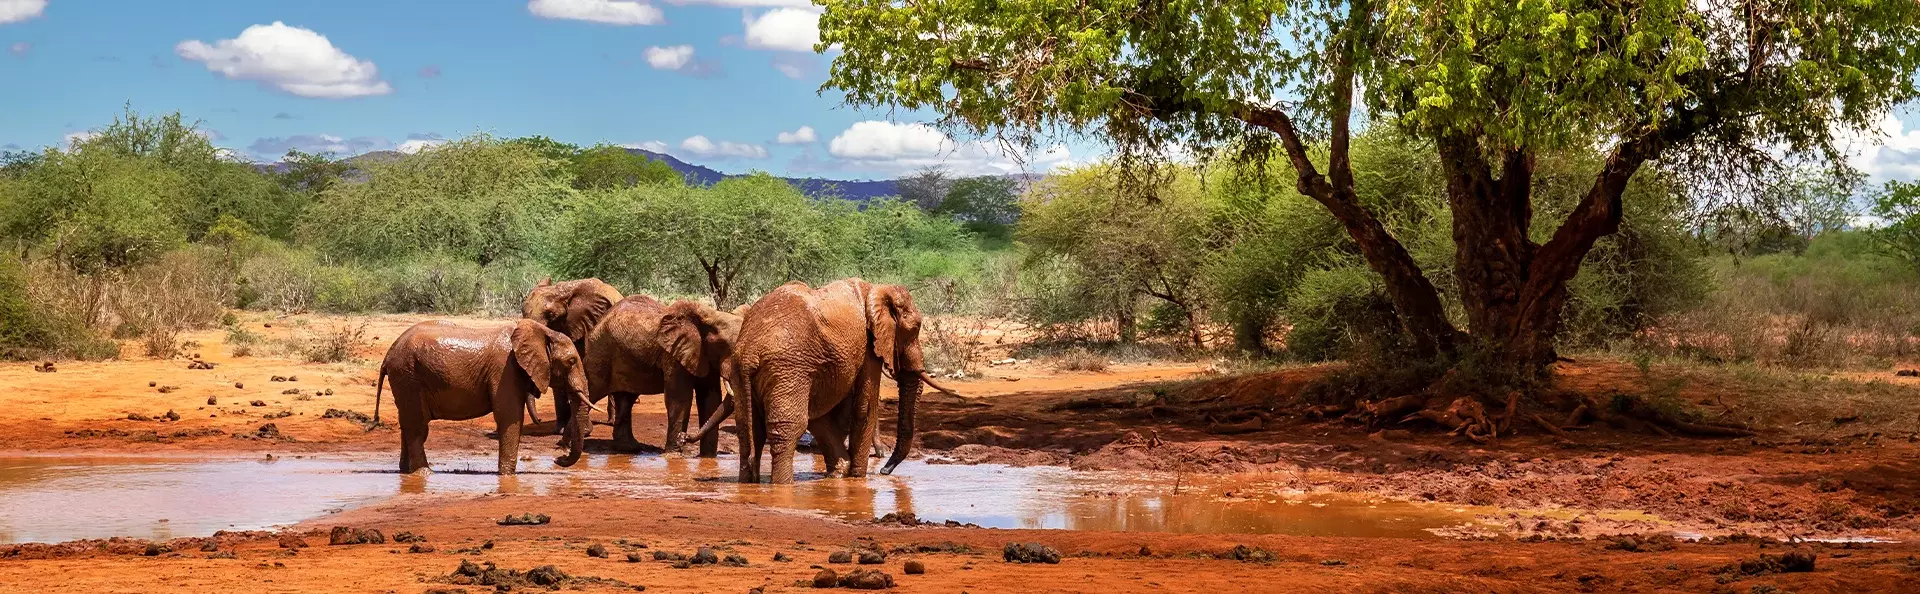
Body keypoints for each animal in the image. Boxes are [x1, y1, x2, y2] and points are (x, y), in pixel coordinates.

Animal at [373, 319, 593, 474]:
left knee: (408, 422)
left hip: (405, 378)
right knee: (417, 426)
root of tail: (388, 354)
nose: (558, 459)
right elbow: (509, 416)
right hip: (408, 375)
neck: (542, 332)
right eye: (571, 361)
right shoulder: (505, 370)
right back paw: (424, 473)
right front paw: (507, 476)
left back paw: (405, 471)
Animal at [522, 278, 621, 434]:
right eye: (522, 311)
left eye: (551, 315)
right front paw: (561, 430)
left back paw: (611, 422)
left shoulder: (583, 327)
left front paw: (582, 430)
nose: (539, 420)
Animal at [582, 295, 746, 456]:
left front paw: (707, 459)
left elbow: (710, 398)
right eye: (724, 345)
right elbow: (680, 399)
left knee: (626, 399)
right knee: (592, 390)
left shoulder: (704, 355)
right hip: (599, 351)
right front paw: (673, 456)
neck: (712, 316)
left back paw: (628, 448)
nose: (684, 437)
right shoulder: (674, 355)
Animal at [721, 278, 959, 484]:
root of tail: (750, 353)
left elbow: (823, 413)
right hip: (787, 369)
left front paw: (841, 473)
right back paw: (782, 486)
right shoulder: (868, 346)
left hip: (740, 372)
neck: (877, 289)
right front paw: (857, 479)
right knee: (789, 428)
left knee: (748, 429)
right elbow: (864, 408)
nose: (883, 471)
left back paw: (749, 484)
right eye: (915, 328)